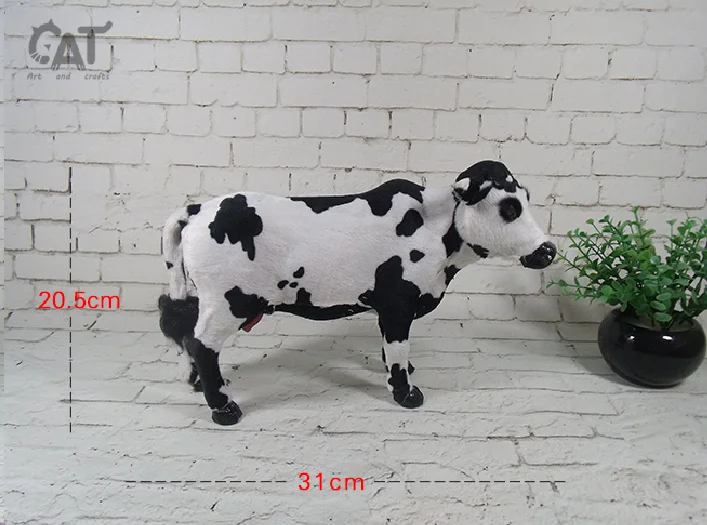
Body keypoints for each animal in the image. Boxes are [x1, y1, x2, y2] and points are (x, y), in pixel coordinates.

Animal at [158, 160, 556, 425]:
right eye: (509, 207)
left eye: (524, 198)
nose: (548, 250)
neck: (436, 229)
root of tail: (198, 210)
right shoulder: (398, 305)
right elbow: (397, 348)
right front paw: (406, 392)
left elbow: (391, 349)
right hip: (228, 302)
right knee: (201, 343)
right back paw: (224, 408)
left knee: (187, 334)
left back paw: (201, 385)